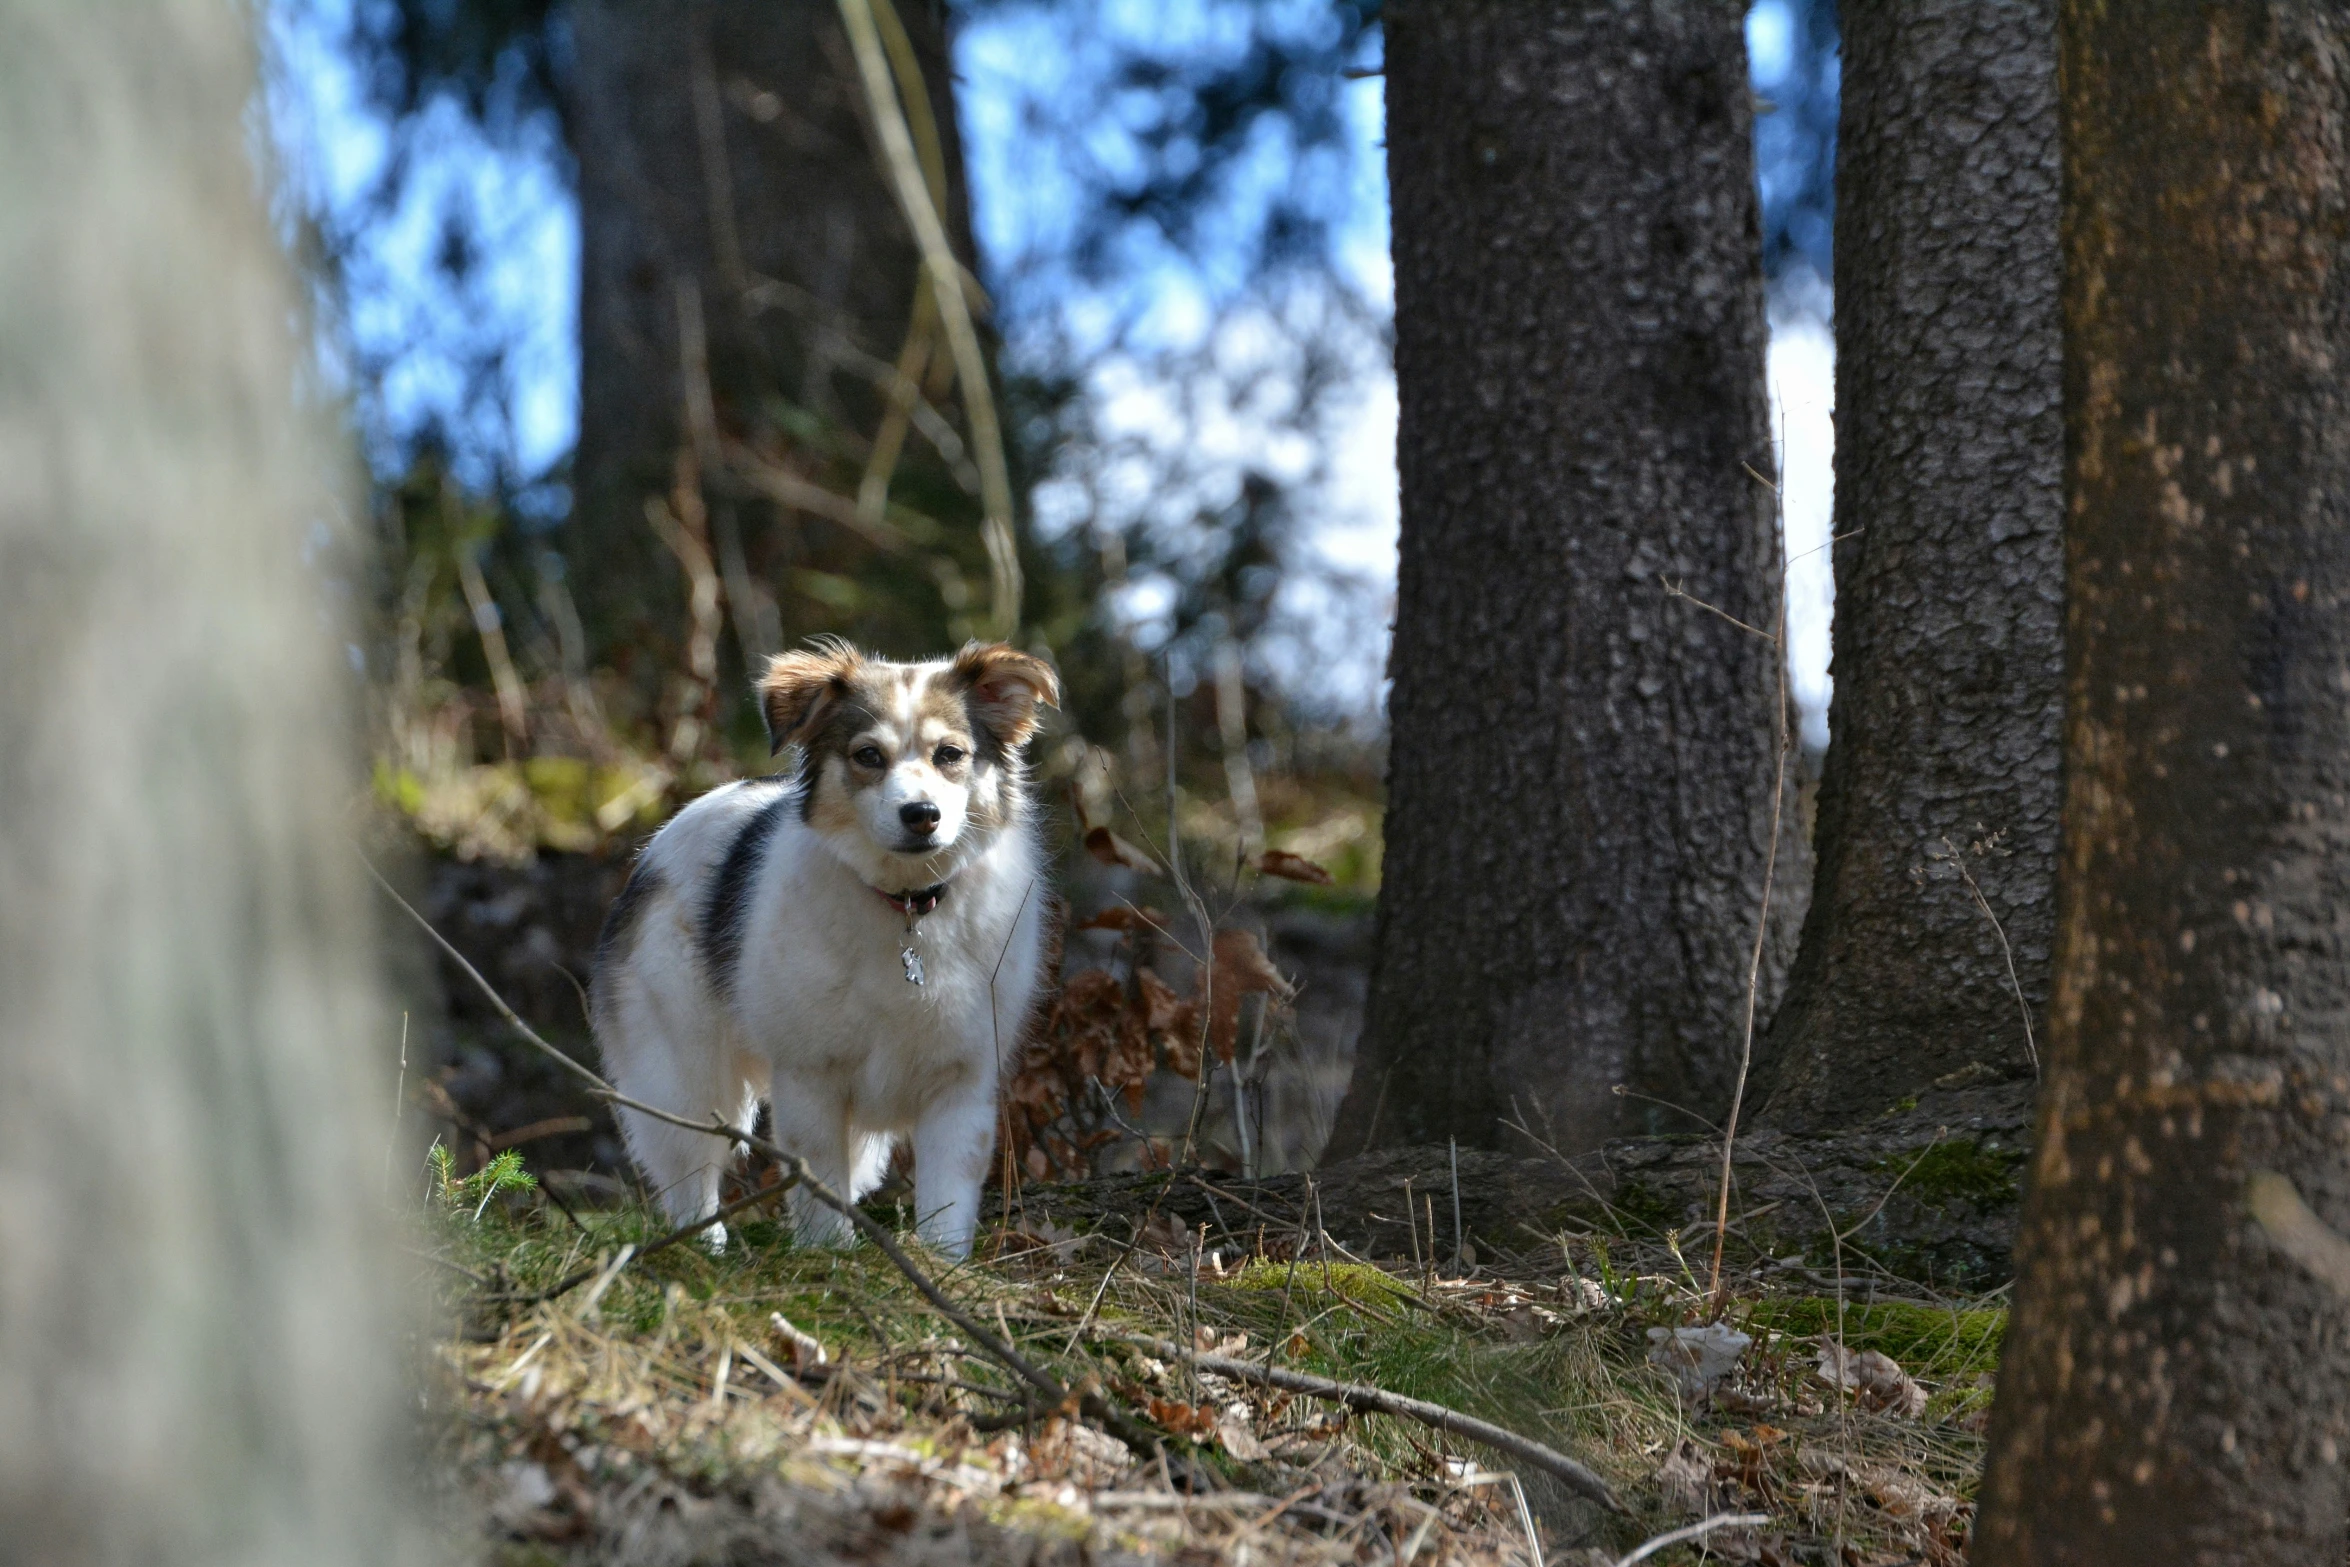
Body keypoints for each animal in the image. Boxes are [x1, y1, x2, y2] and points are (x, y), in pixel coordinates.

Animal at [592, 639, 1062, 1259]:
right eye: (867, 755)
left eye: (950, 754)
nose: (922, 815)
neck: (906, 908)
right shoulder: (809, 1078)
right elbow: (817, 1182)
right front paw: (829, 1254)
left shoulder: (961, 1083)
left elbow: (947, 1200)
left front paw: (940, 1265)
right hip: (684, 1066)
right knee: (688, 1165)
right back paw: (704, 1245)